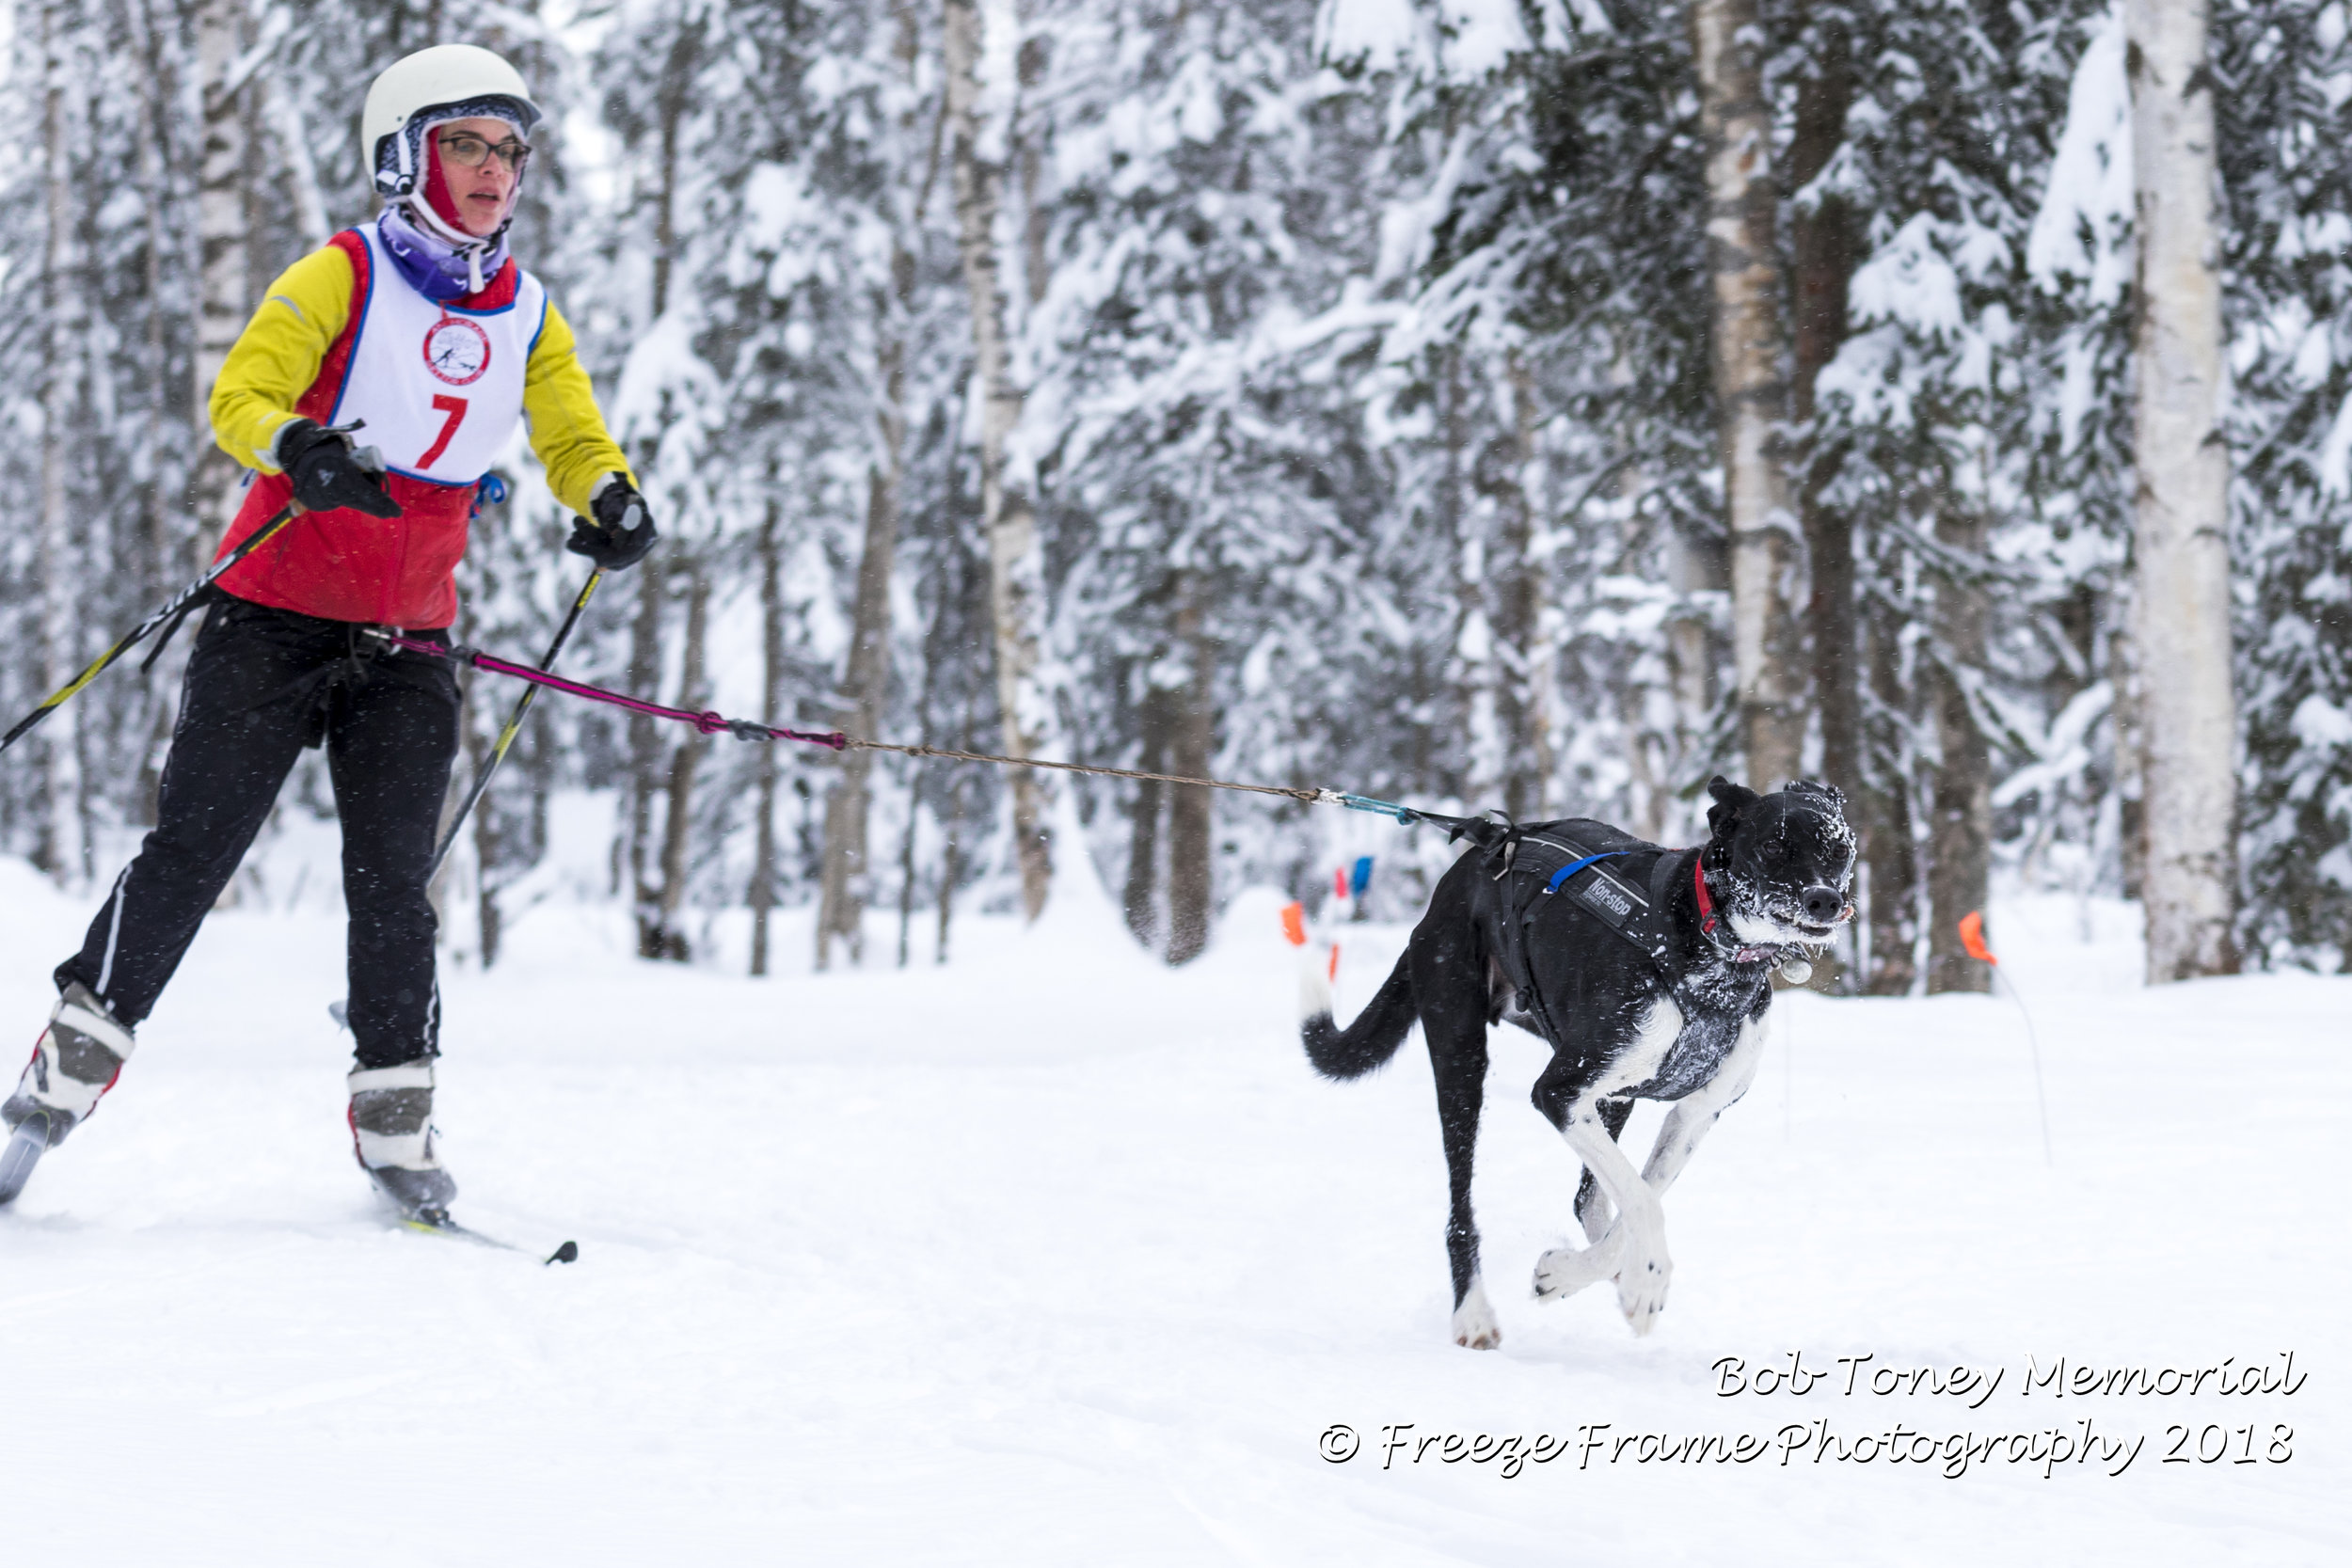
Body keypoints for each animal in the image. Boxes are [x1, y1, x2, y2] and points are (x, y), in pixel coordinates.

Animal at [1298, 780, 1844, 1354]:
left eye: (1840, 849)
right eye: (1773, 846)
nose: (1825, 899)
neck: (1707, 949)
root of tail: (1475, 857)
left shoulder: (1694, 1113)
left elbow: (1639, 1194)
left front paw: (1578, 1275)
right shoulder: (1559, 1090)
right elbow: (1644, 1202)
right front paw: (1646, 1281)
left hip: (1610, 1097)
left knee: (1588, 1199)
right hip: (1462, 1054)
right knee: (1462, 1206)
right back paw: (1473, 1313)